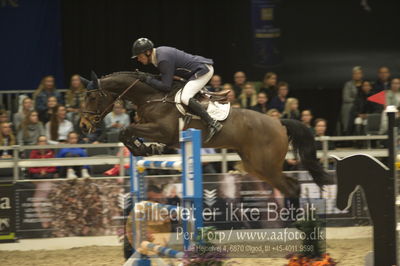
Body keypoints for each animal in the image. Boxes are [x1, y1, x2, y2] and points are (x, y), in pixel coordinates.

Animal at [80, 70, 328, 197]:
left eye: (91, 96)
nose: (83, 125)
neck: (151, 97)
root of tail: (278, 122)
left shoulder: (163, 131)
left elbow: (126, 130)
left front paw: (142, 148)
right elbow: (129, 133)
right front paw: (146, 148)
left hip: (266, 165)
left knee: (291, 188)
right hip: (256, 166)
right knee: (291, 186)